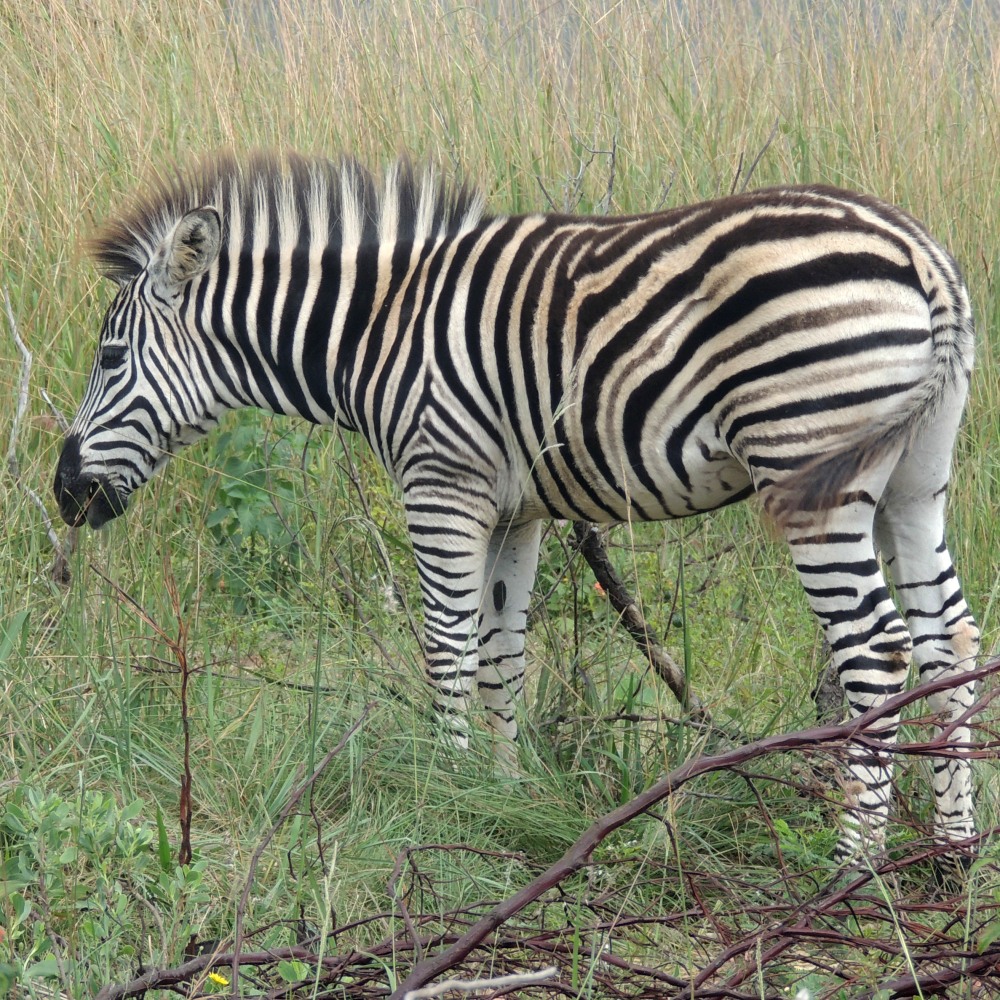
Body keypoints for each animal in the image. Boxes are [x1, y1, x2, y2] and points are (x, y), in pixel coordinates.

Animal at [54, 152, 980, 862]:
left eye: (109, 357)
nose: (65, 490)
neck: (377, 330)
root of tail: (923, 255)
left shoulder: (441, 484)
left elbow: (447, 646)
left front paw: (439, 790)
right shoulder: (514, 511)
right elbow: (505, 652)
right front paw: (501, 793)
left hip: (811, 466)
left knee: (878, 649)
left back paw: (853, 864)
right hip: (915, 477)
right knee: (951, 638)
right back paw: (955, 850)